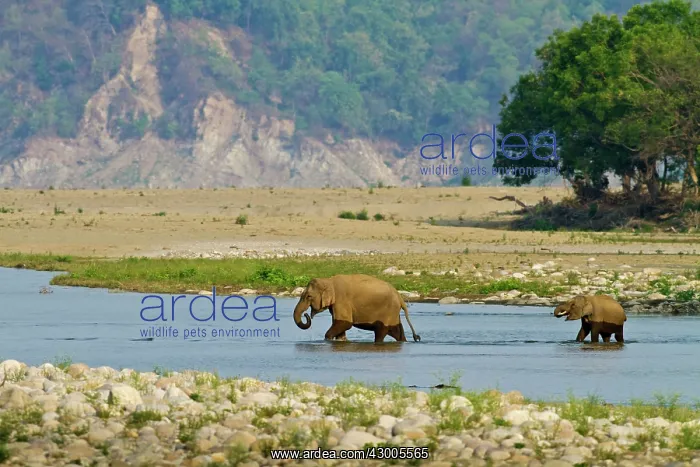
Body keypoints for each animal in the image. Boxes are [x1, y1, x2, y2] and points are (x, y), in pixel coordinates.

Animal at [292, 274, 421, 343]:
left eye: (308, 296)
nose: (306, 315)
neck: (329, 281)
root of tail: (400, 298)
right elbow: (340, 325)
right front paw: (341, 340)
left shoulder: (342, 300)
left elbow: (344, 323)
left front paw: (328, 339)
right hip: (393, 313)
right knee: (397, 332)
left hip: (388, 312)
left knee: (381, 332)